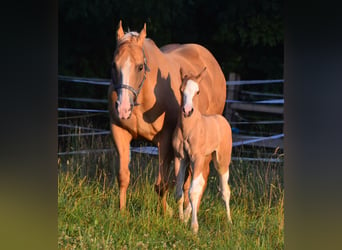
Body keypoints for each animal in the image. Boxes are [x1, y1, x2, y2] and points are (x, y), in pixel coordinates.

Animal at [109, 20, 227, 214]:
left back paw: (188, 212)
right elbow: (123, 176)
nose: (123, 108)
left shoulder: (165, 140)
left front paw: (164, 214)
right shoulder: (119, 132)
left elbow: (161, 184)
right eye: (113, 65)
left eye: (140, 66)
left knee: (197, 179)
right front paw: (122, 212)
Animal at [172, 67, 234, 233]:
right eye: (181, 90)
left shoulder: (197, 157)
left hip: (221, 161)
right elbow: (179, 191)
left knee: (225, 190)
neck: (189, 129)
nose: (187, 111)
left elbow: (193, 191)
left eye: (198, 91)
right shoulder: (180, 158)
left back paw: (229, 221)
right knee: (201, 184)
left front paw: (194, 227)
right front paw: (181, 220)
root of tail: (222, 119)